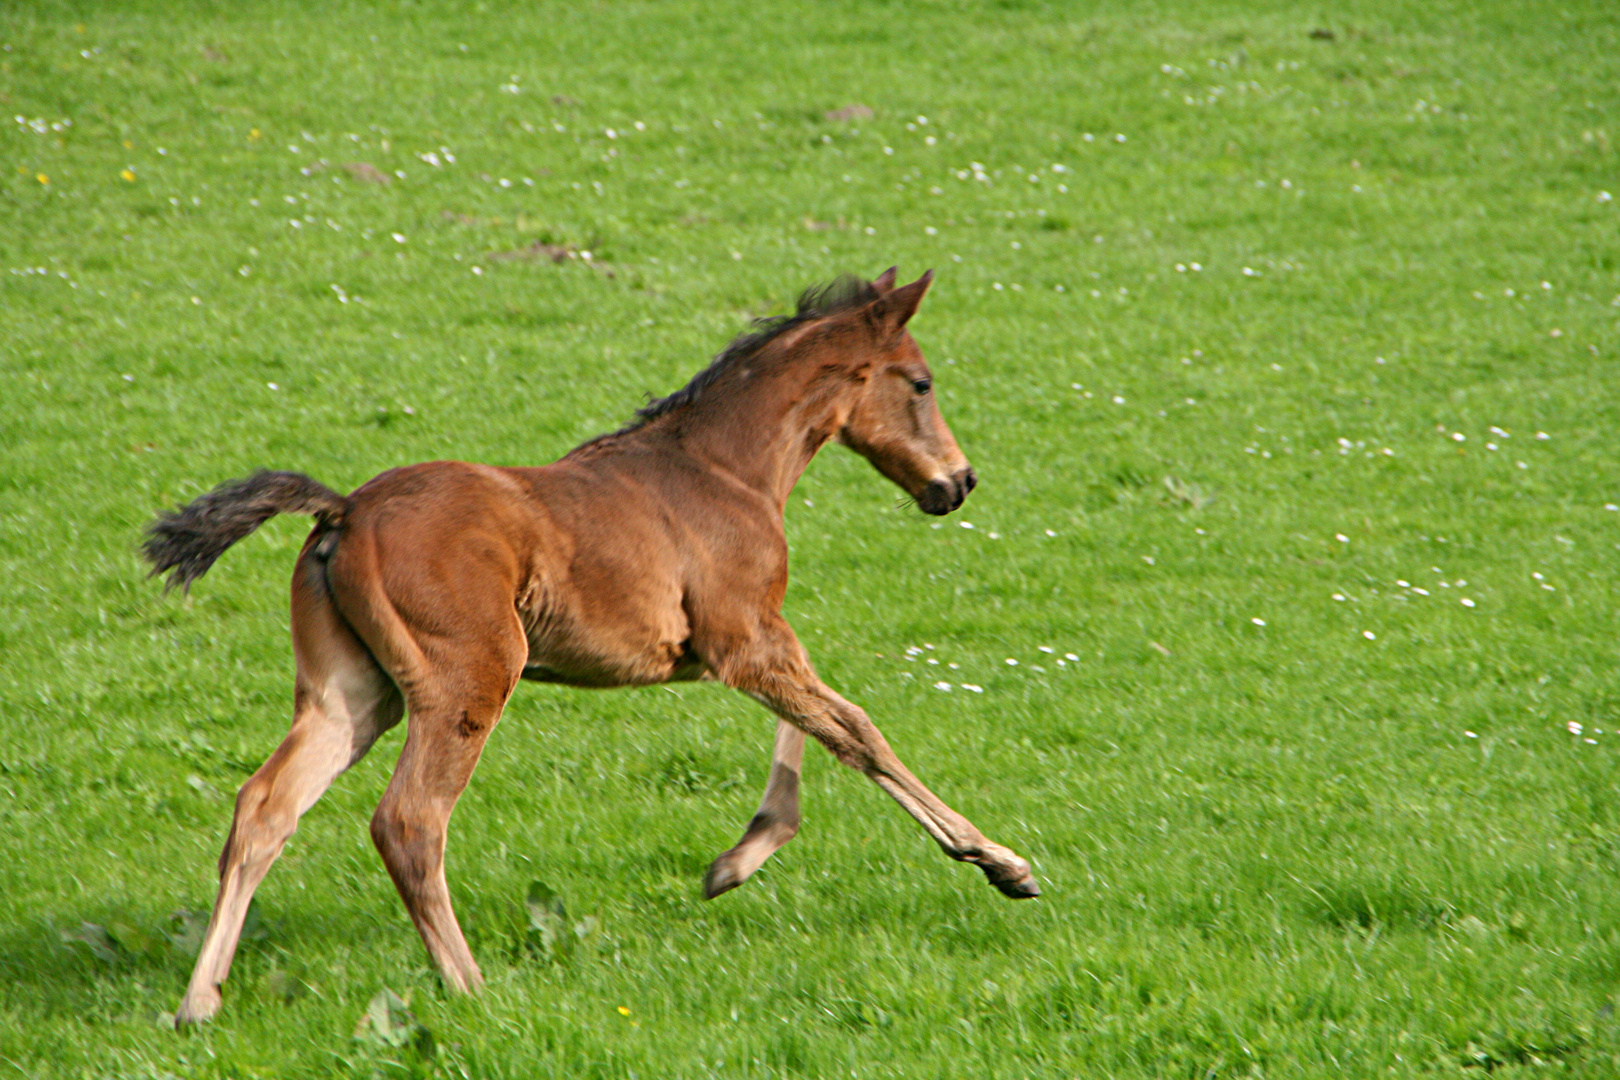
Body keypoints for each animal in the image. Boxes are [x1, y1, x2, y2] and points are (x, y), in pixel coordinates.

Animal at [149, 265, 1036, 1029]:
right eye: (920, 382)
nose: (958, 483)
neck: (726, 470)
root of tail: (344, 511)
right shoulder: (745, 641)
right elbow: (857, 730)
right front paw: (1000, 862)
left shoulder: (747, 643)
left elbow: (815, 729)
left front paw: (734, 862)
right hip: (466, 683)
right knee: (409, 822)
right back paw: (469, 986)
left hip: (353, 696)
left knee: (265, 809)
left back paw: (200, 1001)